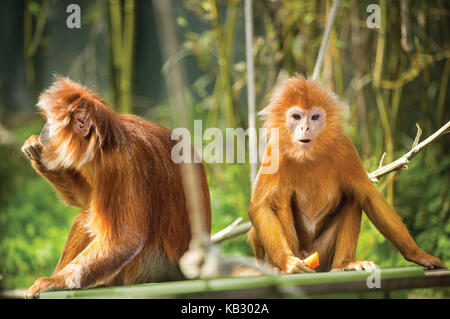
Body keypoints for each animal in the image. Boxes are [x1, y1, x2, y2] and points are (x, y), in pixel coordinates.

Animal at [21, 77, 211, 300]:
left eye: (51, 122)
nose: (44, 130)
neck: (106, 143)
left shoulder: (124, 163)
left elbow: (125, 240)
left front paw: (56, 282)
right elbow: (84, 200)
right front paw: (36, 151)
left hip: (150, 266)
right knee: (87, 216)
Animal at [248, 76, 448, 274]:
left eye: (315, 117)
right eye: (296, 117)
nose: (305, 128)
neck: (307, 156)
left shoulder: (344, 147)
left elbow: (368, 197)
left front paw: (417, 254)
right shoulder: (275, 150)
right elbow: (259, 206)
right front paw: (287, 262)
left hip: (321, 254)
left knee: (354, 197)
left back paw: (344, 264)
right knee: (280, 197)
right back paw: (279, 268)